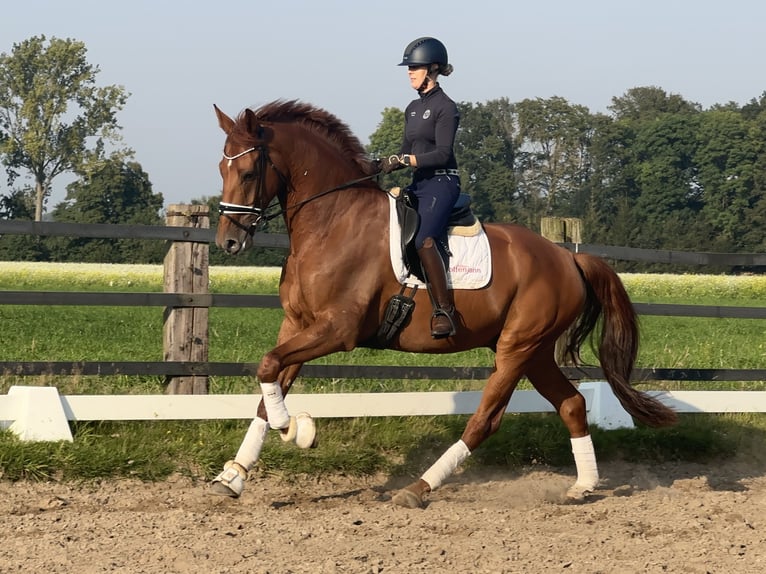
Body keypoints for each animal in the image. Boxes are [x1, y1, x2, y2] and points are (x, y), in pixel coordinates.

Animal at [208, 101, 680, 510]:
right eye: (221, 167)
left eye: (247, 172)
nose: (228, 242)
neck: (332, 221)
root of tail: (567, 257)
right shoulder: (297, 325)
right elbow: (268, 383)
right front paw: (233, 477)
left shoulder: (337, 330)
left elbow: (269, 369)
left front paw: (299, 430)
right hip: (535, 351)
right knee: (572, 405)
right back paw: (583, 486)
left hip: (517, 348)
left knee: (486, 420)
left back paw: (419, 487)